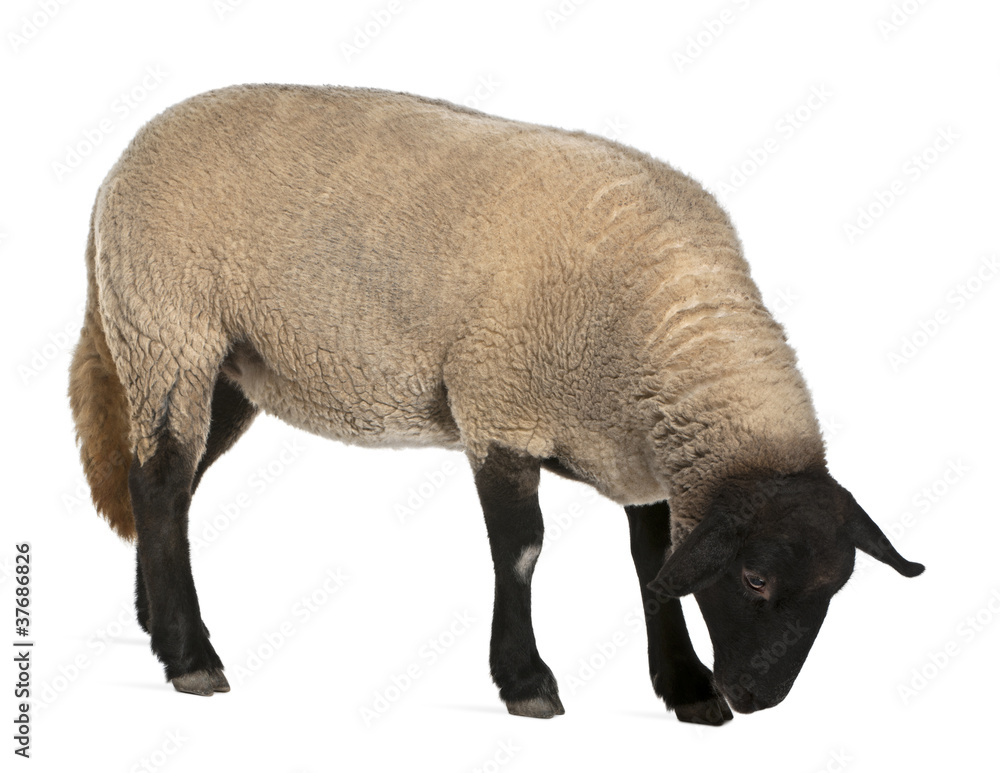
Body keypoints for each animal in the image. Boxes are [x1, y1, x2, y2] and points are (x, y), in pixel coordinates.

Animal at [69, 84, 923, 723]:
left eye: (835, 589)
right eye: (754, 580)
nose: (759, 697)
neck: (661, 331)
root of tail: (118, 168)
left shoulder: (637, 457)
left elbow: (656, 567)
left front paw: (686, 688)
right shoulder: (499, 406)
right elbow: (522, 550)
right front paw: (527, 682)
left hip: (226, 369)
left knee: (169, 488)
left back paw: (156, 620)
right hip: (170, 332)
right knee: (159, 480)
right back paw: (191, 657)